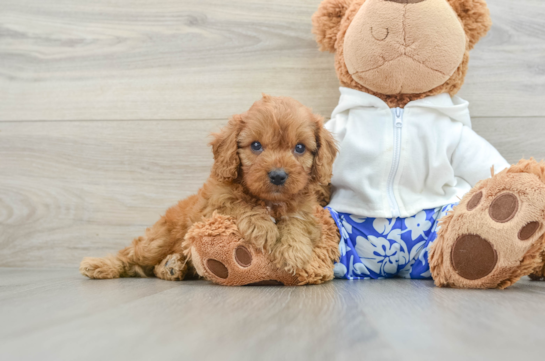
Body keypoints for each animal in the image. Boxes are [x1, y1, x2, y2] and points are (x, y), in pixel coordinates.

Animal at [79, 95, 336, 278]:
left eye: (300, 148)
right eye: (256, 145)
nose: (278, 175)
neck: (269, 201)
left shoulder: (307, 212)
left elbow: (297, 223)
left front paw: (293, 250)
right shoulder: (213, 207)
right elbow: (239, 204)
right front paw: (261, 226)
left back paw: (172, 267)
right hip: (157, 241)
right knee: (132, 256)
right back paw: (100, 265)